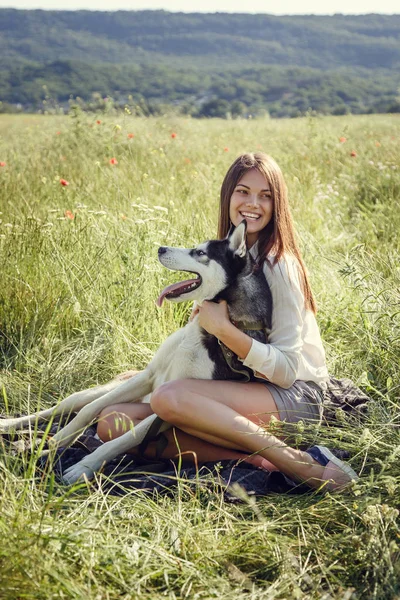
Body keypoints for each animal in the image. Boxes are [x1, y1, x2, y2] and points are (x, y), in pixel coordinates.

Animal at [0, 220, 272, 482]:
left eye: (200, 253)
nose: (160, 248)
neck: (204, 332)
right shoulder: (148, 376)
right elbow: (88, 411)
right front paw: (55, 442)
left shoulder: (168, 406)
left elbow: (123, 440)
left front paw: (83, 467)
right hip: (99, 390)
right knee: (65, 407)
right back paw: (10, 424)